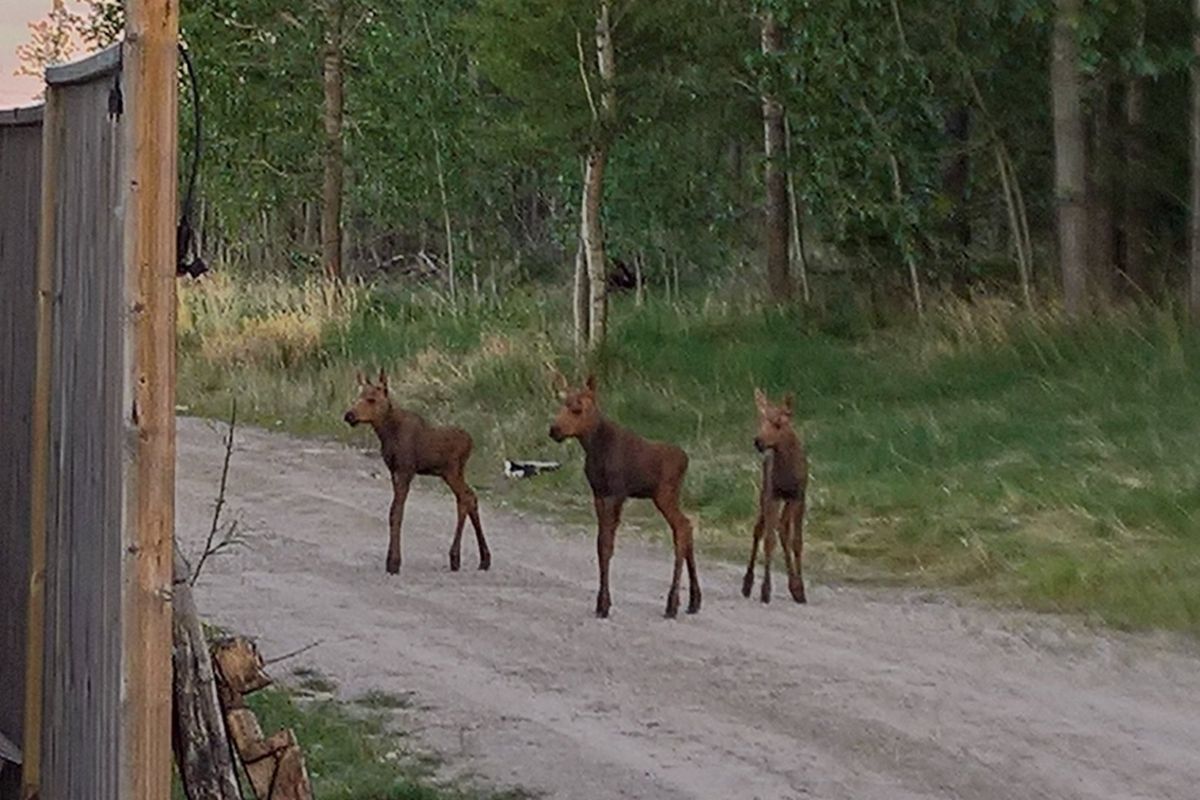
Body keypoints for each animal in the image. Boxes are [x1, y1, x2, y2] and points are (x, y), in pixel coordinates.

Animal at [340, 369, 489, 575]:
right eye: (358, 396)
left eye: (371, 399)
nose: (349, 415)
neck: (386, 432)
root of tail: (471, 443)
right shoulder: (394, 471)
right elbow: (393, 512)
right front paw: (391, 560)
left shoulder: (406, 470)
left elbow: (397, 512)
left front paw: (394, 562)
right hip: (454, 472)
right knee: (468, 498)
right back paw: (474, 558)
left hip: (451, 471)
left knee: (467, 498)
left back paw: (466, 557)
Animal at [549, 376, 700, 618]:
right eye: (562, 403)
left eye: (577, 408)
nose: (554, 430)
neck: (594, 447)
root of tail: (686, 460)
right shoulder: (599, 493)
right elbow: (600, 545)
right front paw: (602, 602)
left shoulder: (616, 493)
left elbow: (607, 545)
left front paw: (604, 604)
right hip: (668, 496)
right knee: (686, 526)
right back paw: (694, 600)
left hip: (664, 495)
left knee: (683, 528)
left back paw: (672, 603)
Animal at [744, 391, 811, 604]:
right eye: (761, 420)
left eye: (778, 424)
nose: (758, 441)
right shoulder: (772, 494)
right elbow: (769, 540)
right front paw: (765, 590)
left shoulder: (799, 495)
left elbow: (797, 541)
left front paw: (800, 589)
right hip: (764, 492)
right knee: (760, 529)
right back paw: (747, 583)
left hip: (786, 499)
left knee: (782, 528)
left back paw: (794, 586)